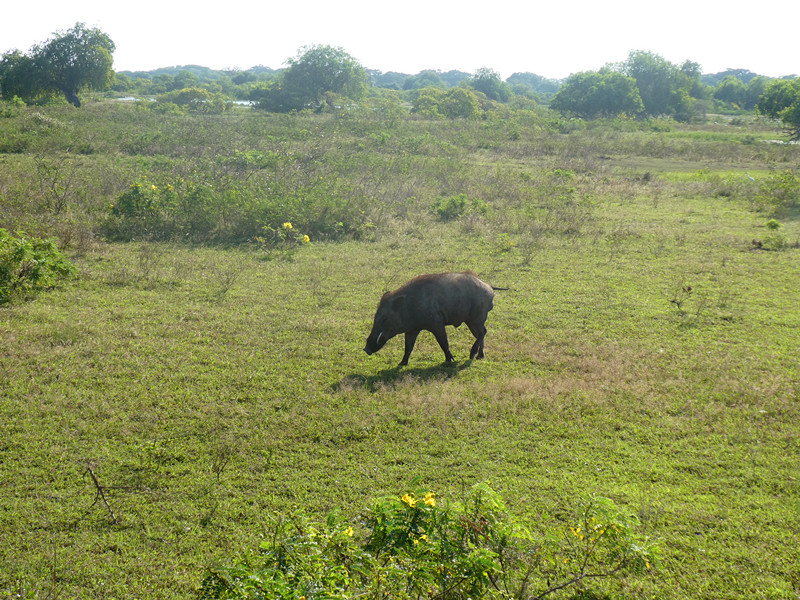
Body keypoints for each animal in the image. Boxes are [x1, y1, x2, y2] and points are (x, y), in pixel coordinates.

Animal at [364, 272, 506, 366]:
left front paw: (450, 360)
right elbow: (408, 347)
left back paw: (471, 355)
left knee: (483, 333)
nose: (366, 349)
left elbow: (443, 342)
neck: (410, 305)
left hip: (476, 319)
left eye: (384, 318)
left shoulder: (436, 325)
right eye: (375, 316)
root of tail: (489, 287)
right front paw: (402, 363)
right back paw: (480, 357)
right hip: (473, 321)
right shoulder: (412, 330)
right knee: (481, 334)